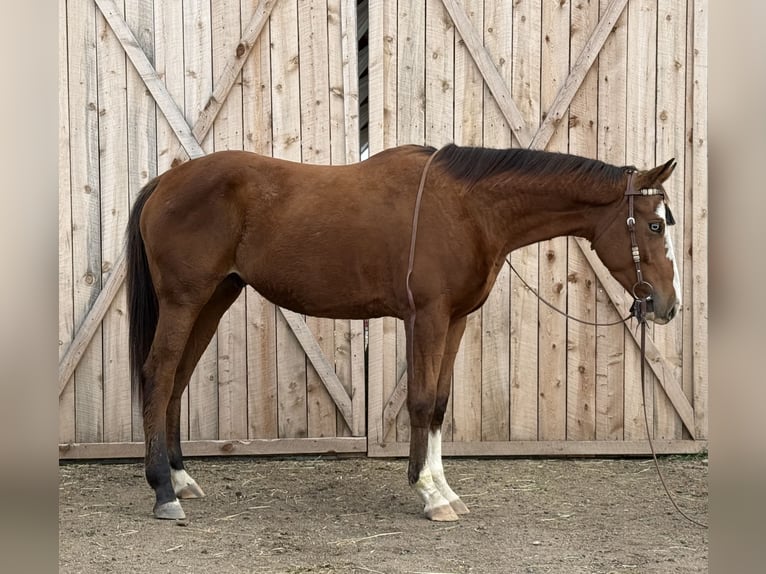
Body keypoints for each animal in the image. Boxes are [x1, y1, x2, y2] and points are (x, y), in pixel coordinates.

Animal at [126, 143, 680, 521]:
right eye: (654, 226)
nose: (667, 305)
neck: (467, 208)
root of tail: (166, 182)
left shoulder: (455, 320)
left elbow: (438, 404)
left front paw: (444, 490)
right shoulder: (427, 318)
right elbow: (419, 400)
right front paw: (428, 494)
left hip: (214, 299)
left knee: (177, 380)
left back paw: (181, 478)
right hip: (185, 301)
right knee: (159, 375)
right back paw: (163, 492)